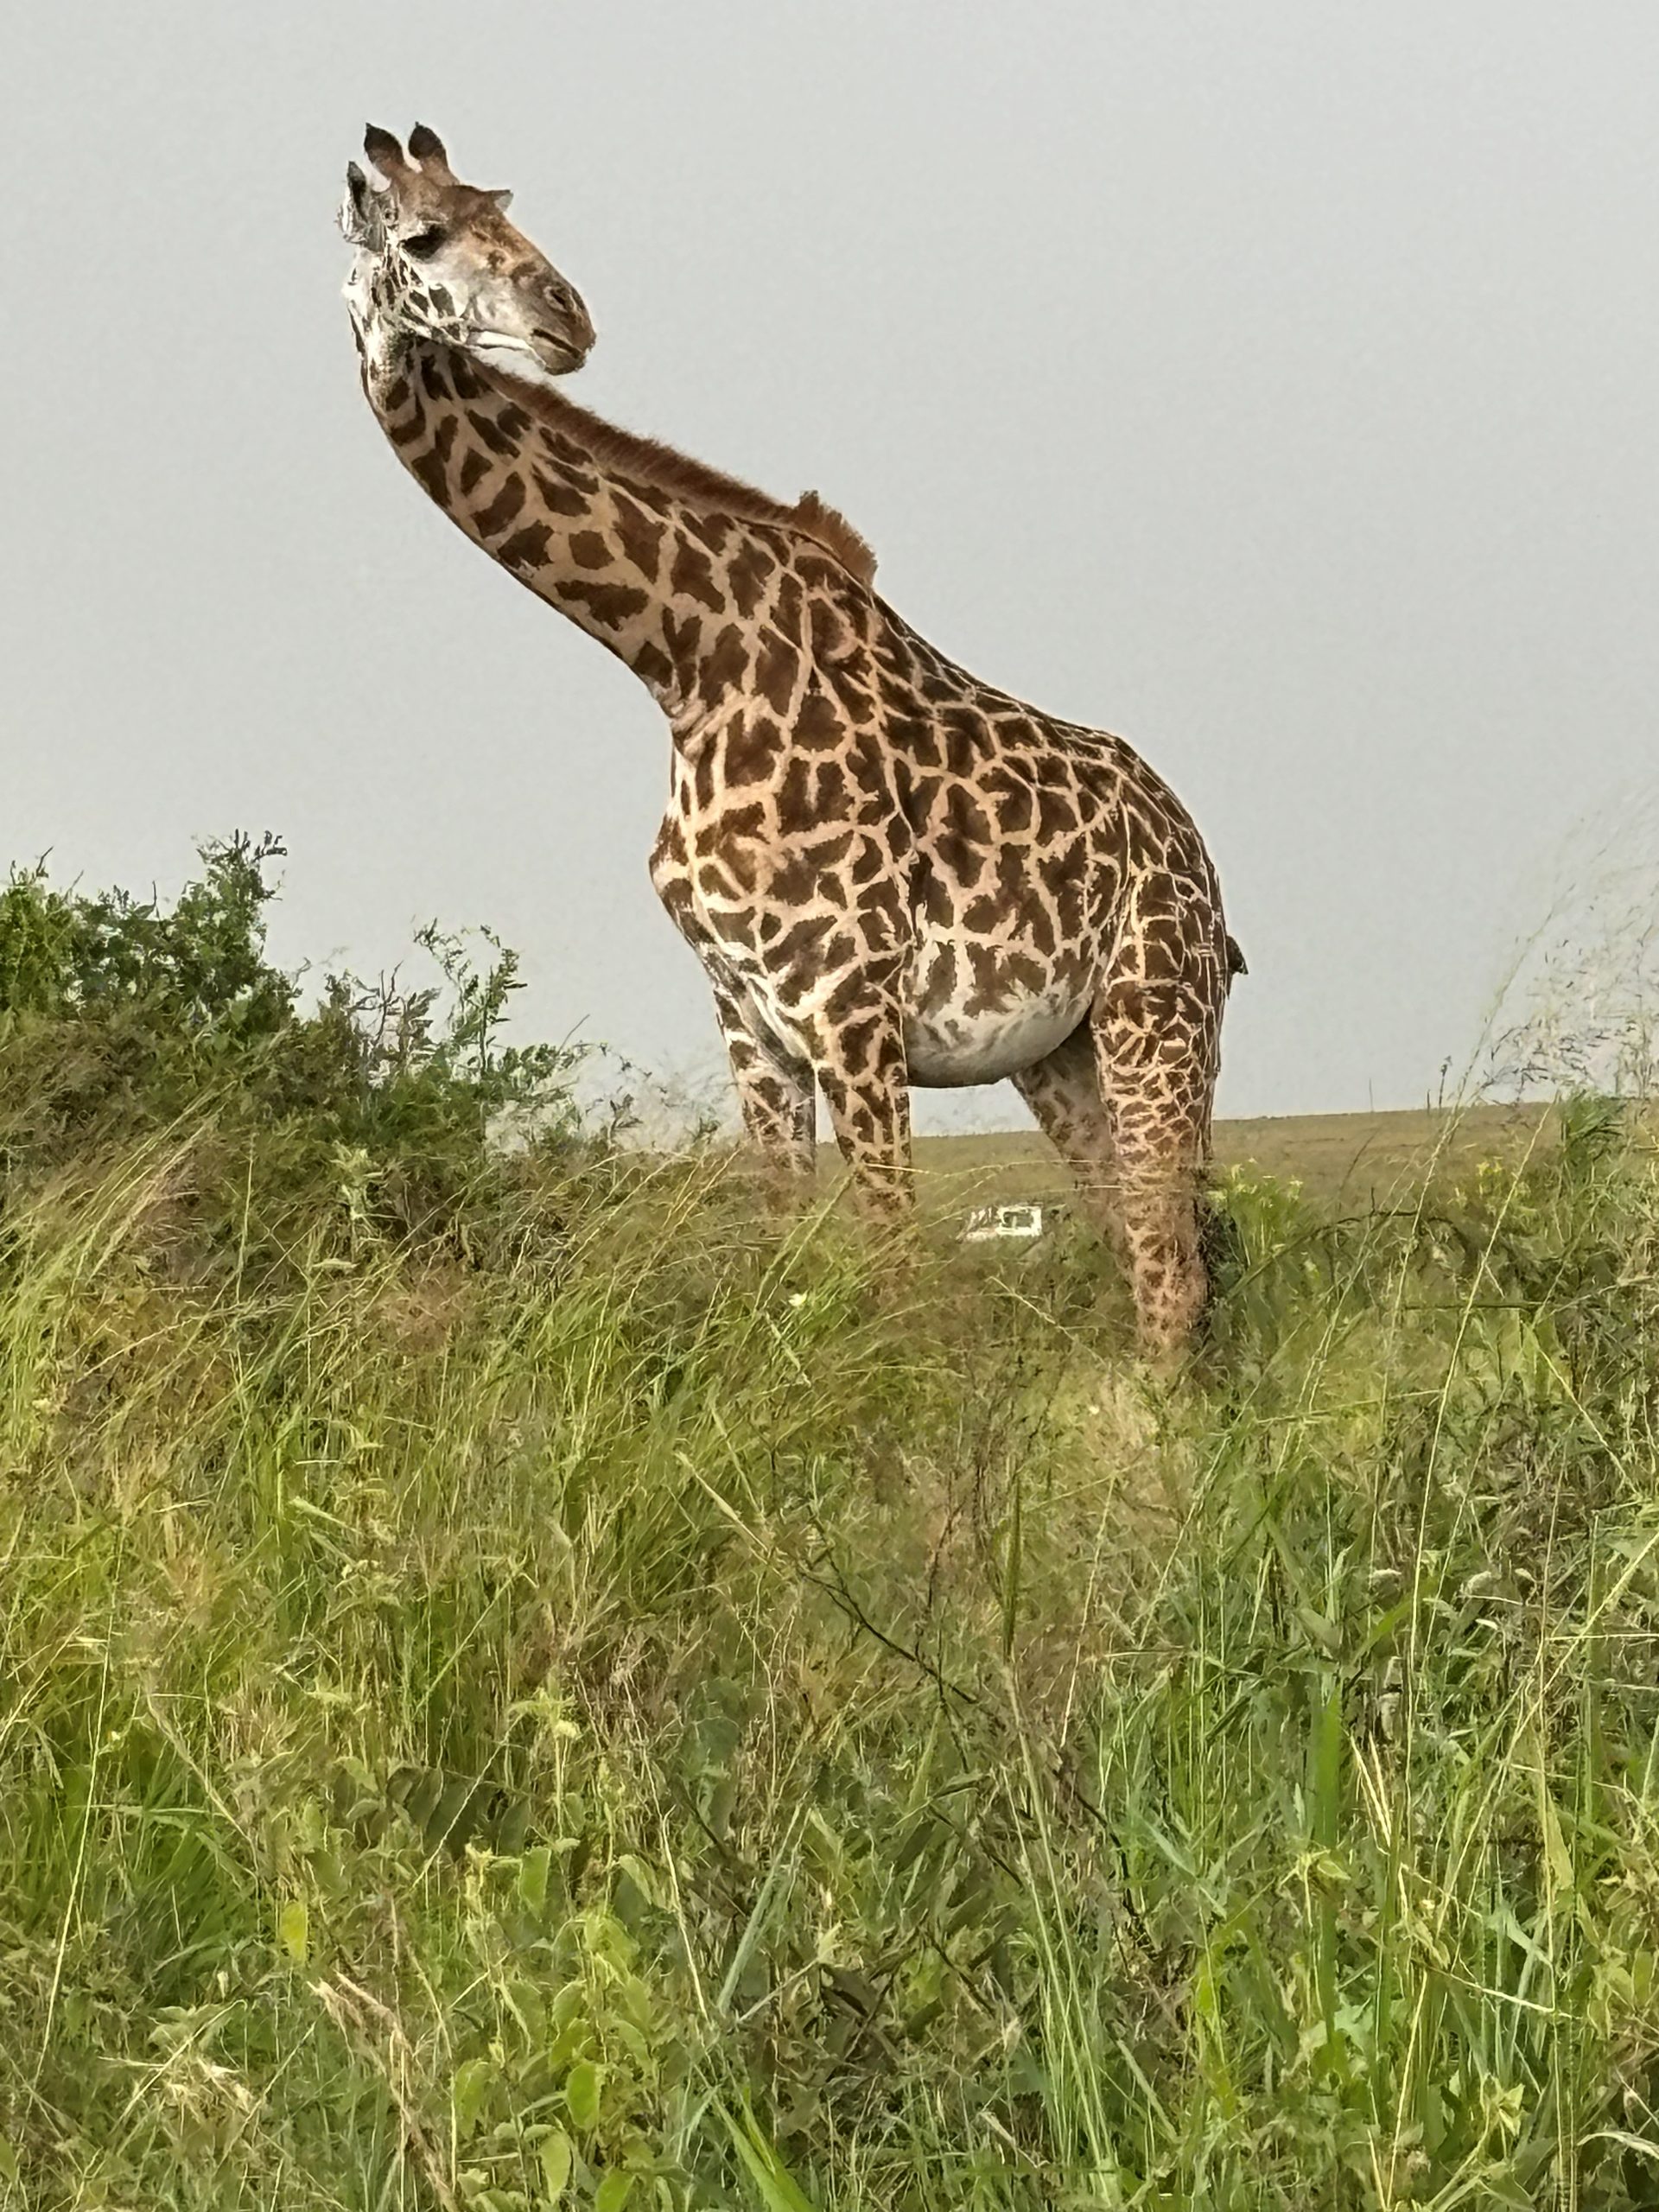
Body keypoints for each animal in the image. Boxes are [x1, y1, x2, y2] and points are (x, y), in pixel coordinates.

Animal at [339, 126, 1246, 1365]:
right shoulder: (752, 1021)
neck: (682, 664)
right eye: (424, 236)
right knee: (1146, 1255)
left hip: (1159, 1010)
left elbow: (896, 1278)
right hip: (1061, 1053)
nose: (567, 316)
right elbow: (780, 1263)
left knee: (1172, 1274)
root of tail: (1199, 857)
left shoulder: (852, 1010)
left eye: (508, 214)